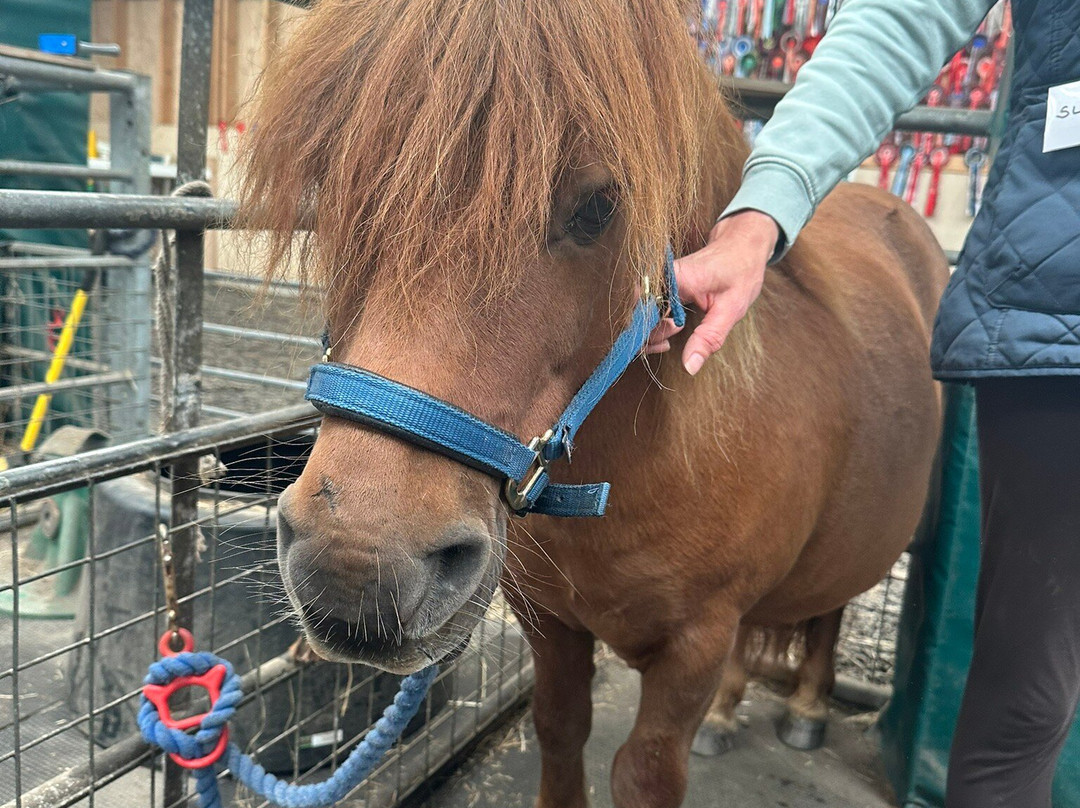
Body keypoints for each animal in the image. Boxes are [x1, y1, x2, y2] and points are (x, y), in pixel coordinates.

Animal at [238, 0, 947, 805]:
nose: (354, 567)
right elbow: (559, 727)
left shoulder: (695, 645)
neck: (641, 470)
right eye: (328, 183)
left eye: (599, 206)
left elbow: (645, 770)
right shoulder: (550, 622)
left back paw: (805, 707)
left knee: (830, 611)